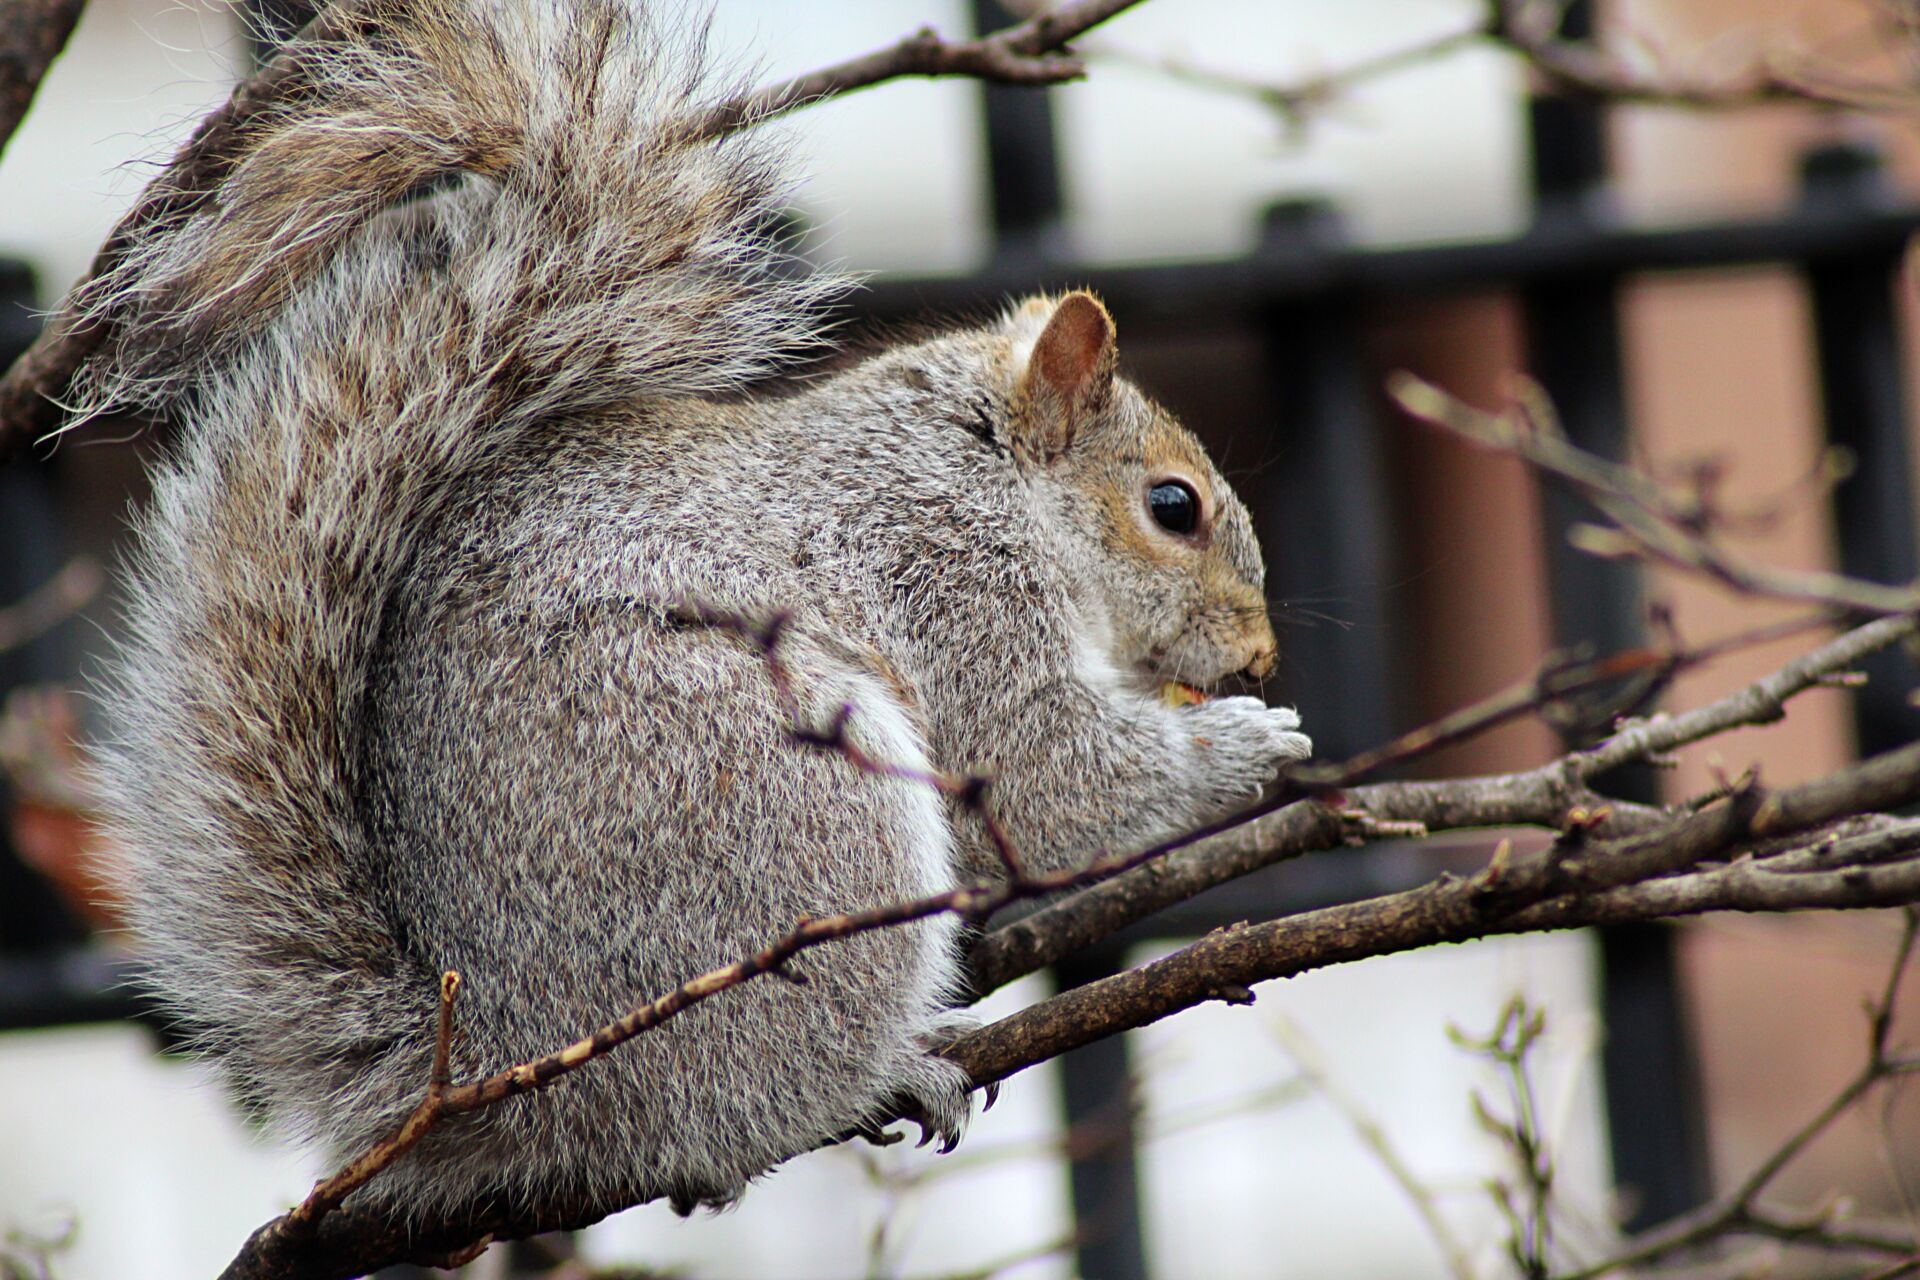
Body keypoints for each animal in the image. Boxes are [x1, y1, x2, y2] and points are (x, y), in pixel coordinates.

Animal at [80, 0, 1311, 1224]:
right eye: (1173, 506)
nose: (1259, 655)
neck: (985, 473)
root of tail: (507, 1066)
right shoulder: (951, 583)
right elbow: (1049, 771)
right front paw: (1244, 747)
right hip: (789, 811)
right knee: (757, 1097)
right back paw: (883, 1070)